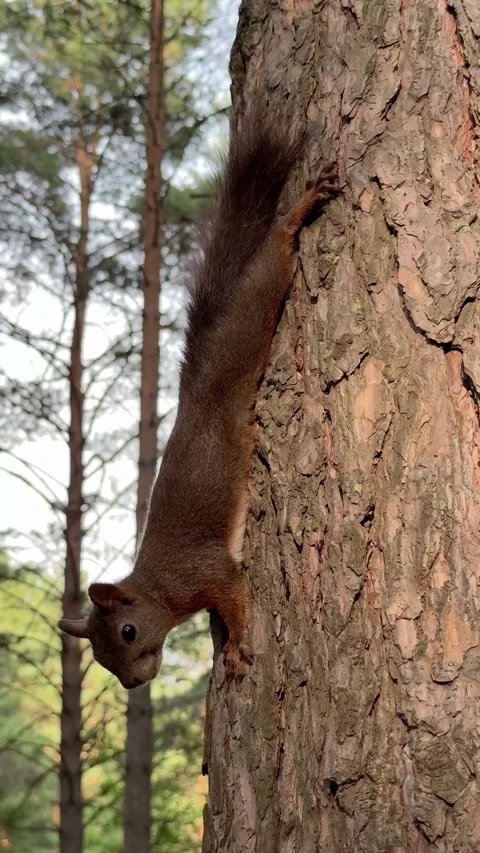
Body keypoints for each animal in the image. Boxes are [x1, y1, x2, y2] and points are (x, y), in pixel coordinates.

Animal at [59, 106, 339, 689]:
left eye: (127, 632)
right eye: (100, 656)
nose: (135, 683)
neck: (160, 588)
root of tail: (195, 388)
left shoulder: (208, 570)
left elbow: (237, 598)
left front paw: (238, 647)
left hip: (243, 334)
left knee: (267, 271)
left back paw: (298, 212)